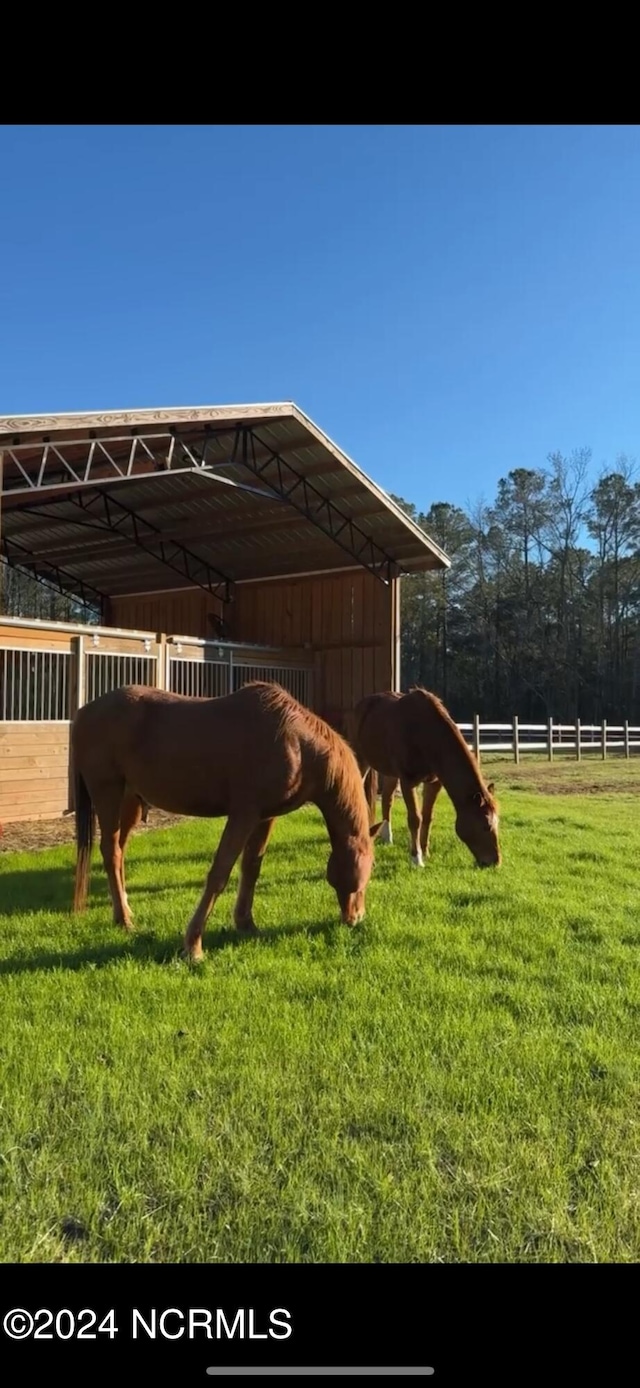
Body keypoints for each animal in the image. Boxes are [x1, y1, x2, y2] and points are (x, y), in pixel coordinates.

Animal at [71, 677, 380, 960]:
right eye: (364, 872)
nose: (357, 917)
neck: (296, 745)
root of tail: (84, 712)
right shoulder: (243, 814)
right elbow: (220, 873)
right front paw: (193, 946)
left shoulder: (265, 817)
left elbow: (251, 867)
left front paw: (246, 924)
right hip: (108, 793)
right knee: (111, 851)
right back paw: (125, 920)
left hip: (130, 802)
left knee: (120, 851)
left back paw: (123, 910)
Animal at [349, 691, 499, 871]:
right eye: (486, 826)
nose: (495, 862)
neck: (427, 735)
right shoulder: (408, 781)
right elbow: (415, 819)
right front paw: (417, 859)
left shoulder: (434, 782)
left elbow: (427, 817)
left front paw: (425, 851)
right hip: (361, 760)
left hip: (391, 772)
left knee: (387, 799)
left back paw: (387, 837)